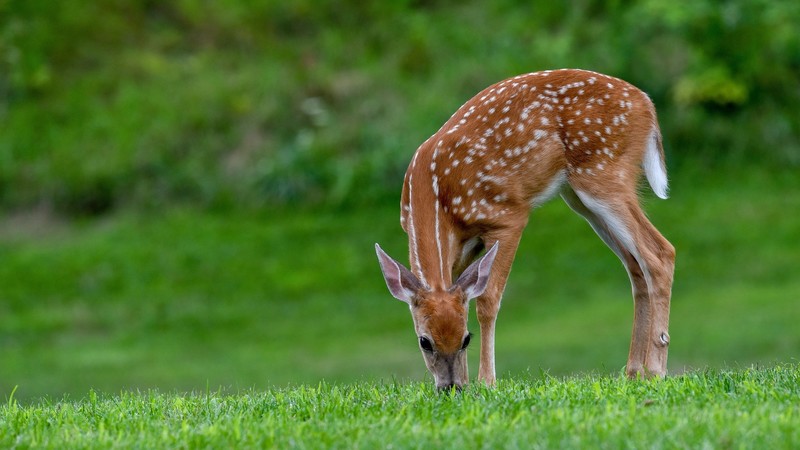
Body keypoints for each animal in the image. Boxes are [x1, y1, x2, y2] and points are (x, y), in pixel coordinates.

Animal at [375, 69, 675, 391]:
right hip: (580, 198)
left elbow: (487, 301)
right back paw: (633, 371)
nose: (451, 387)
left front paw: (487, 381)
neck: (436, 198)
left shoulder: (507, 217)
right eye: (424, 341)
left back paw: (656, 369)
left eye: (466, 339)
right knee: (635, 266)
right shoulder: (462, 249)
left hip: (603, 175)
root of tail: (647, 105)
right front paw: (470, 381)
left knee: (660, 253)